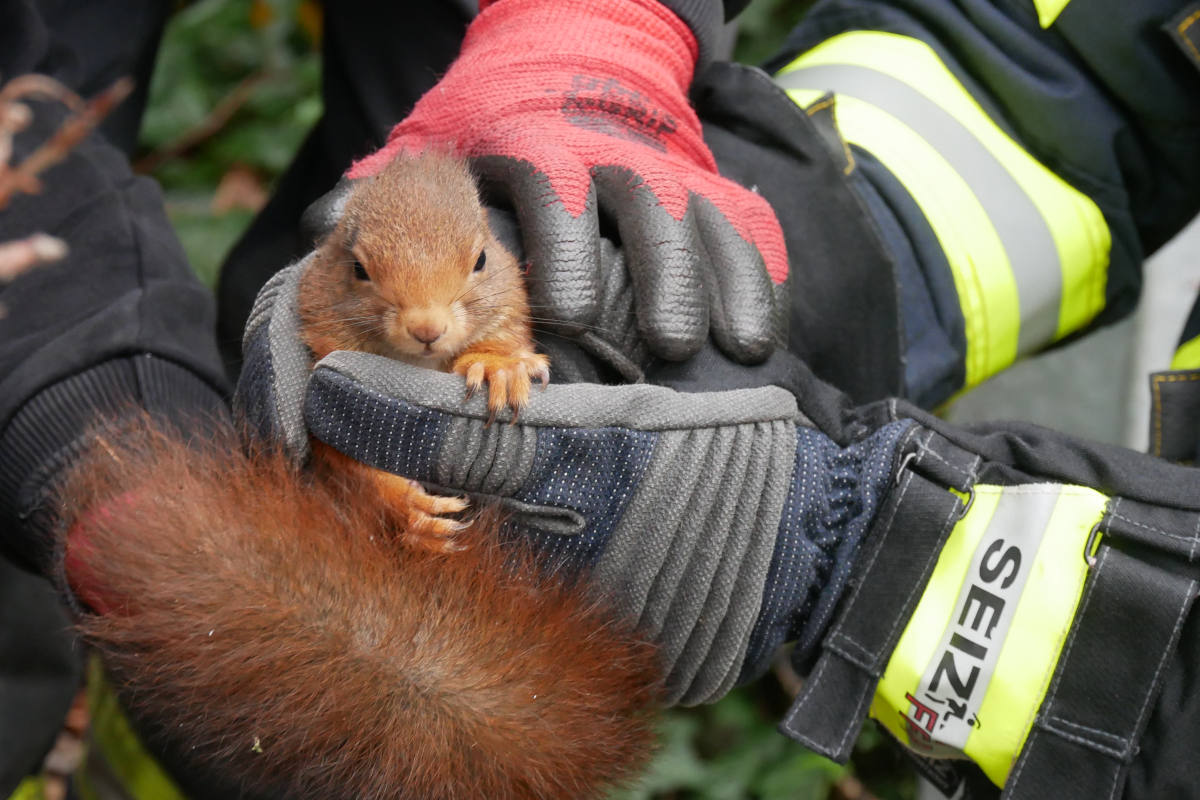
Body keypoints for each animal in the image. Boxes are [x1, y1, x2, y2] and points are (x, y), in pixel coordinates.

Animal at [297, 151, 550, 551]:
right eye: (358, 268)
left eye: (481, 259)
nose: (427, 329)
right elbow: (342, 460)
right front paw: (406, 507)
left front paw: (498, 368)